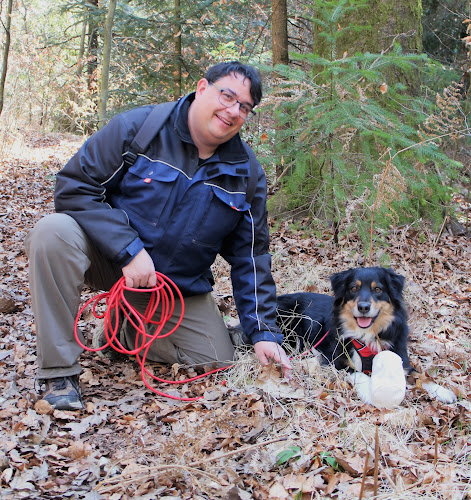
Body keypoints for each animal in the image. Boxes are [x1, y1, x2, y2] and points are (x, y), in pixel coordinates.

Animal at [276, 268, 458, 404]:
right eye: (353, 288)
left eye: (377, 289)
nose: (363, 307)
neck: (367, 334)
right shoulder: (338, 362)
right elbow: (361, 374)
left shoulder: (400, 357)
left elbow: (419, 375)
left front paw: (442, 391)